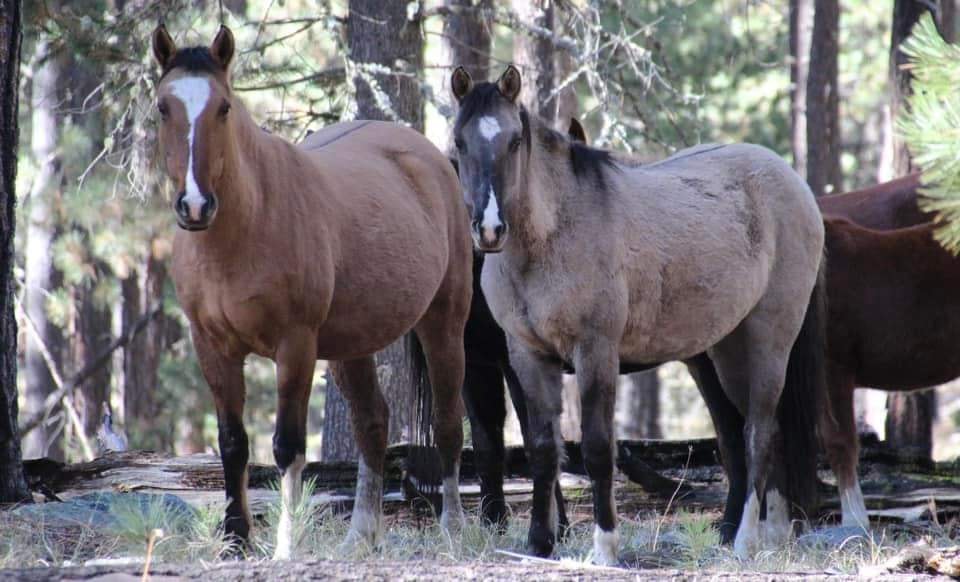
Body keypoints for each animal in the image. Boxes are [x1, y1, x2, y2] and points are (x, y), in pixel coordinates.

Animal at [151, 25, 476, 560]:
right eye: (163, 107)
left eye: (223, 107)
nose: (195, 206)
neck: (243, 227)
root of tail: (429, 156)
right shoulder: (212, 347)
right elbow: (233, 442)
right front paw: (235, 540)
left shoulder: (295, 345)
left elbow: (287, 445)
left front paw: (284, 545)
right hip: (351, 345)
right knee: (372, 422)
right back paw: (360, 535)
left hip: (444, 323)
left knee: (448, 423)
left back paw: (452, 528)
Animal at [450, 66, 824, 564]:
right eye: (459, 142)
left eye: (514, 142)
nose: (490, 229)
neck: (551, 237)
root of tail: (792, 181)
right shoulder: (526, 355)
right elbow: (543, 449)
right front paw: (539, 543)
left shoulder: (595, 352)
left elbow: (596, 447)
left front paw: (605, 545)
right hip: (722, 351)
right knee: (749, 434)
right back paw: (760, 533)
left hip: (768, 340)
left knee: (759, 431)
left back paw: (746, 540)